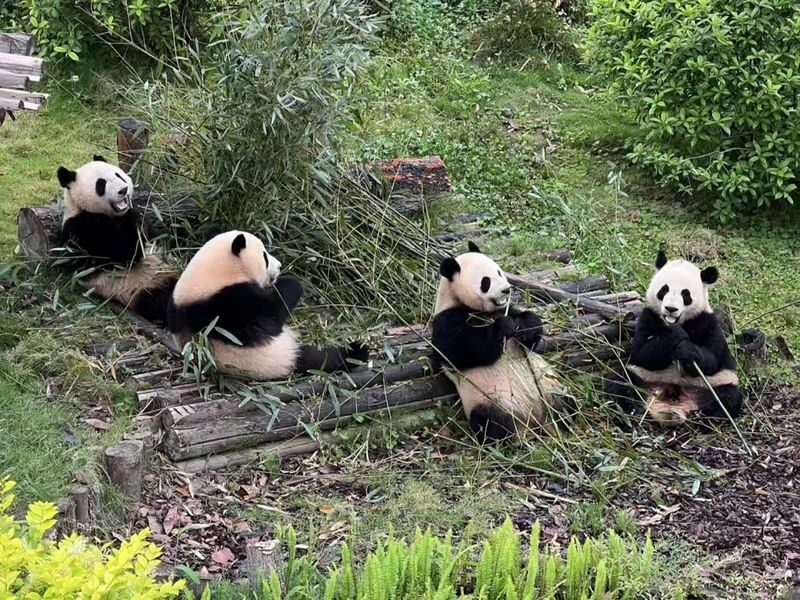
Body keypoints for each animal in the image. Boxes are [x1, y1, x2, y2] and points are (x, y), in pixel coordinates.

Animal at [56, 156, 177, 322]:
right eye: (101, 184)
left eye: (118, 175)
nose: (123, 190)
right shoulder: (81, 232)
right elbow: (125, 253)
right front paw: (133, 219)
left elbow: (157, 236)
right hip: (143, 289)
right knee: (167, 302)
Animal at [167, 230, 369, 380]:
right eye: (264, 257)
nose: (279, 266)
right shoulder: (229, 305)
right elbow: (270, 314)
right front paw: (292, 283)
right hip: (281, 356)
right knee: (321, 359)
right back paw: (357, 352)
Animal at [431, 242, 569, 442]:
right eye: (486, 281)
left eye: (499, 272)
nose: (507, 289)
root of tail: (536, 417)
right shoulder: (446, 320)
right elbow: (464, 349)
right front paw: (504, 326)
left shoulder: (506, 308)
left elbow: (530, 336)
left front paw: (524, 328)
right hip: (492, 399)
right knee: (493, 422)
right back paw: (518, 439)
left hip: (549, 384)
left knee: (564, 400)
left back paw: (565, 423)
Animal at [605, 251, 742, 425]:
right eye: (664, 290)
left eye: (686, 294)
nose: (671, 309)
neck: (677, 322)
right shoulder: (648, 316)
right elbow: (643, 353)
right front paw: (676, 335)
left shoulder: (707, 321)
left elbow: (712, 358)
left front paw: (687, 349)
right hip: (642, 376)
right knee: (620, 382)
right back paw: (631, 409)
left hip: (714, 383)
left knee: (728, 397)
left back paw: (706, 415)